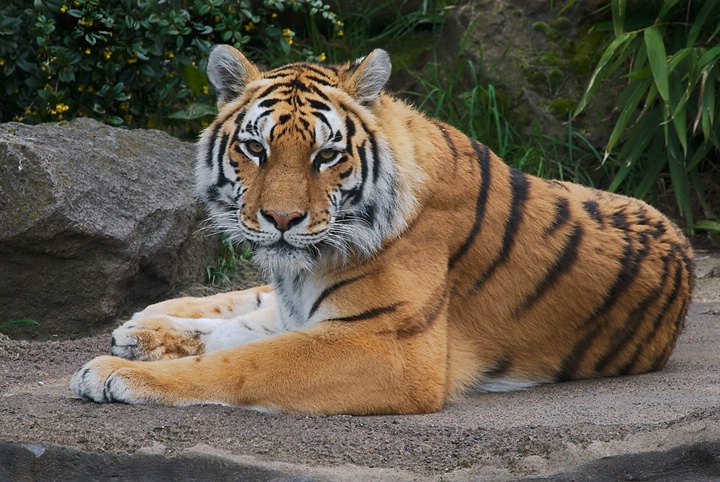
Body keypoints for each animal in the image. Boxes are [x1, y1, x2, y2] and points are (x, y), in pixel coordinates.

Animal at [70, 44, 696, 414]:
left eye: (326, 155)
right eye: (255, 148)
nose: (281, 221)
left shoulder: (390, 347)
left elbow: (243, 362)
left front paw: (115, 374)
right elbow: (240, 334)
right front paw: (131, 352)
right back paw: (142, 325)